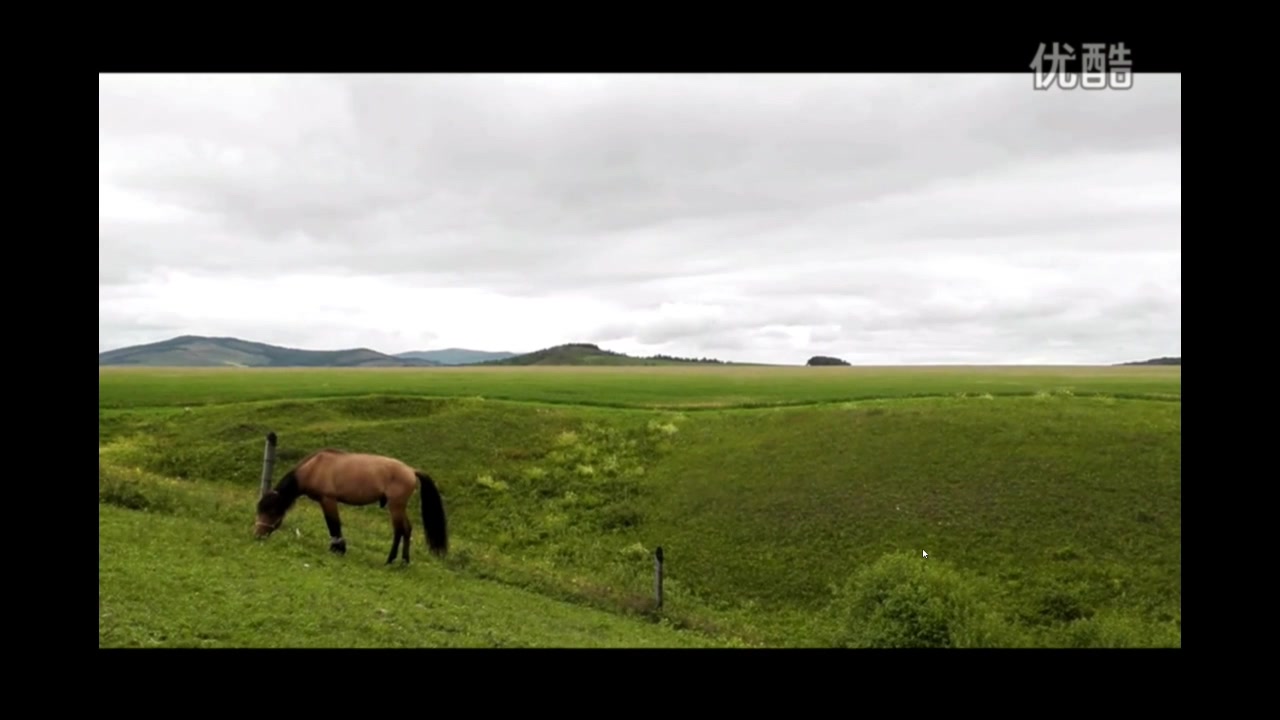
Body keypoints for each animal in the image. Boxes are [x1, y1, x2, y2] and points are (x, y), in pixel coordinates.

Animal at [252, 445, 448, 563]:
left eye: (271, 511)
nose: (257, 534)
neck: (314, 468)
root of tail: (411, 471)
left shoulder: (328, 500)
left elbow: (333, 525)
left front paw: (337, 548)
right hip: (399, 507)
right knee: (407, 529)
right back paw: (403, 560)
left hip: (396, 506)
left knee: (400, 530)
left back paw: (391, 559)